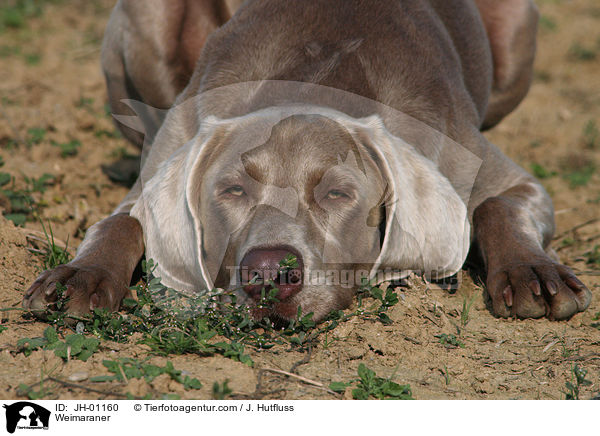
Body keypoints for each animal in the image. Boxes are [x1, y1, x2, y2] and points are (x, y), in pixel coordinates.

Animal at [22, 0, 592, 320]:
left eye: (338, 194)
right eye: (231, 190)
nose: (269, 273)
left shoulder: (505, 176)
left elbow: (498, 205)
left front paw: (533, 272)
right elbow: (119, 223)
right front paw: (80, 276)